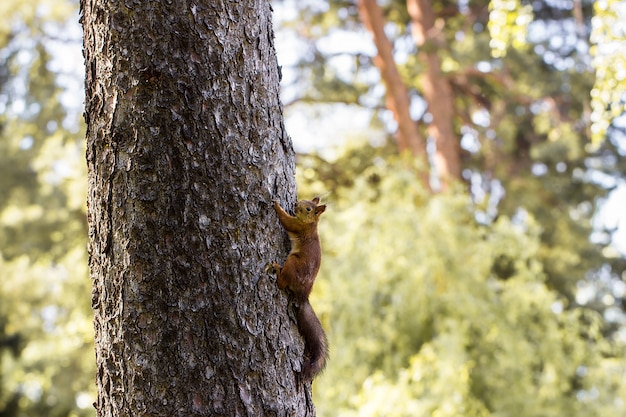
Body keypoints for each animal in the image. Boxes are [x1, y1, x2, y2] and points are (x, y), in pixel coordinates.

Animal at [272, 197, 330, 378]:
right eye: (304, 200)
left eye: (308, 209)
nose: (296, 205)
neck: (311, 225)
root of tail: (303, 295)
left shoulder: (297, 226)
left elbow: (286, 221)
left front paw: (277, 205)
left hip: (293, 263)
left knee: (282, 283)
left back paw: (277, 270)